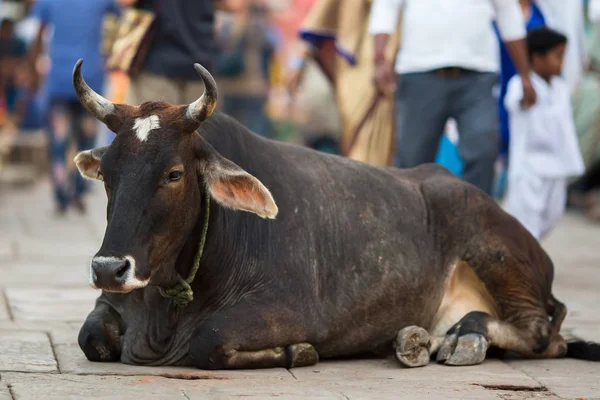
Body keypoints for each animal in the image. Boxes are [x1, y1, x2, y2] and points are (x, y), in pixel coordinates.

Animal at [71, 58, 600, 368]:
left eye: (174, 174)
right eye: (109, 171)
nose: (109, 268)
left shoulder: (286, 307)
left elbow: (208, 339)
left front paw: (297, 351)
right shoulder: (112, 306)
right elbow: (90, 336)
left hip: (500, 257)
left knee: (543, 332)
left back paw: (463, 338)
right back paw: (417, 340)